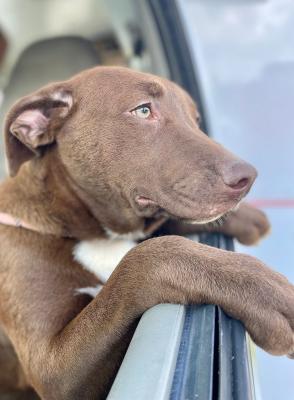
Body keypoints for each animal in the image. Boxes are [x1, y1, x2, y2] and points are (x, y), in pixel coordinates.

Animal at [0, 67, 292, 398]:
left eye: (196, 119)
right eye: (142, 110)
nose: (247, 178)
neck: (98, 235)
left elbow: (165, 226)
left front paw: (248, 218)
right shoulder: (53, 369)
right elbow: (147, 257)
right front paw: (267, 291)